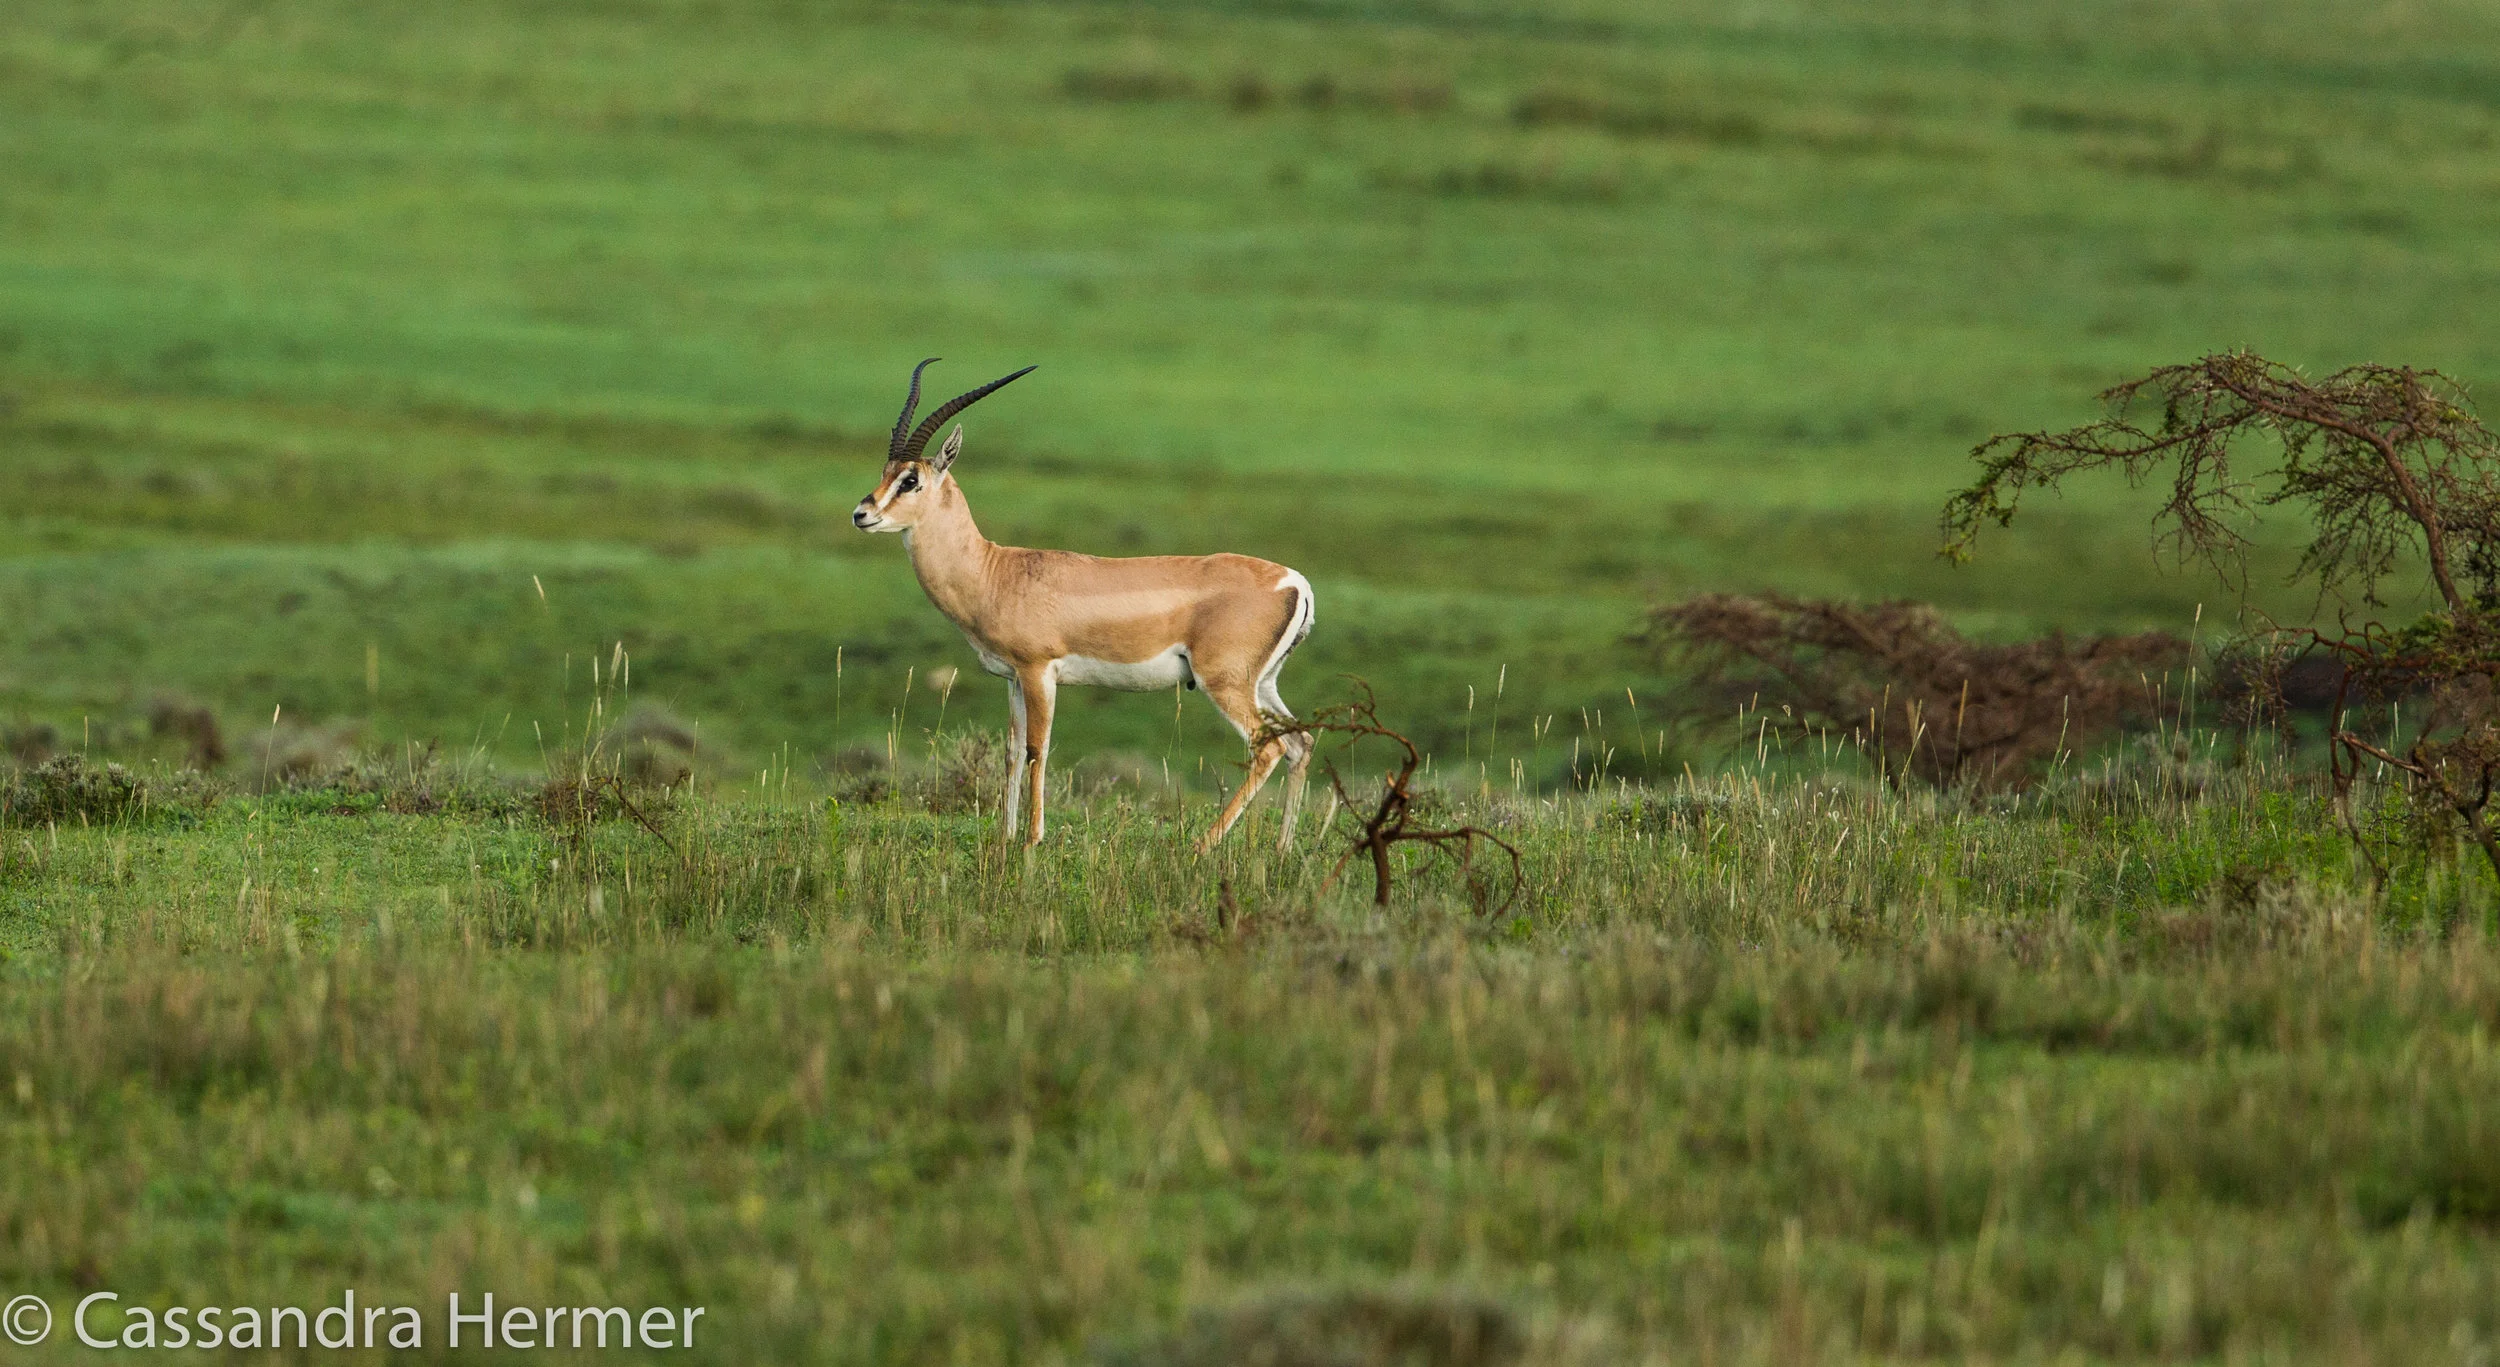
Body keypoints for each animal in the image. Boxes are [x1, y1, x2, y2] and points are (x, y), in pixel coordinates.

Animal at [851, 360, 1317, 850]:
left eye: (911, 480)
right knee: (1300, 742)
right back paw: (1282, 849)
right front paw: (1006, 837)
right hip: (1263, 683)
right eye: (884, 472)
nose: (862, 514)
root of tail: (1295, 582)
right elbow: (1011, 752)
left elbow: (1037, 749)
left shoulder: (1039, 672)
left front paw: (1032, 840)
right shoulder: (1013, 679)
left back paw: (1201, 846)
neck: (994, 571)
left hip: (1224, 683)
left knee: (1269, 747)